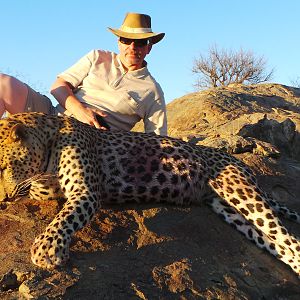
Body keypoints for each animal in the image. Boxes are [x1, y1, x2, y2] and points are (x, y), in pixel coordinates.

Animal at [0, 113, 298, 278]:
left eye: (2, 167)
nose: (3, 201)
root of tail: (241, 163)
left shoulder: (86, 191)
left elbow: (65, 218)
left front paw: (47, 250)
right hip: (227, 208)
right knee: (278, 245)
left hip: (240, 191)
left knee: (289, 240)